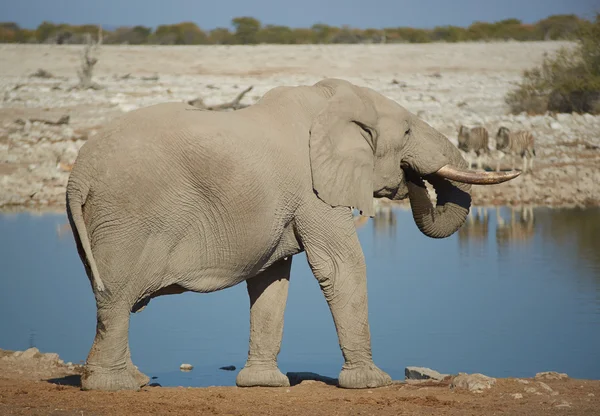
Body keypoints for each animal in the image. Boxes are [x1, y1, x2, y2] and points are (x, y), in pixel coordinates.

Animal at [67, 79, 520, 394]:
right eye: (408, 132)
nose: (412, 179)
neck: (331, 100)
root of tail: (77, 176)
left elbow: (271, 280)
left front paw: (264, 385)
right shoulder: (313, 188)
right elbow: (341, 266)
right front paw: (373, 382)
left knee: (113, 300)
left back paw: (135, 379)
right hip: (128, 215)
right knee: (117, 297)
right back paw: (116, 386)